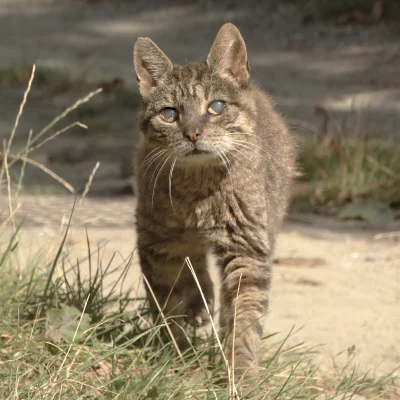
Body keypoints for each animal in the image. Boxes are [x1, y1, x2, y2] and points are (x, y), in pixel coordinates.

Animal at [133, 22, 296, 382]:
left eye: (216, 107)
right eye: (169, 114)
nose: (192, 134)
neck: (198, 194)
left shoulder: (247, 250)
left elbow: (244, 320)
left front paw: (242, 376)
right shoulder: (158, 243)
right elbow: (167, 302)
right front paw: (174, 355)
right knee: (195, 265)